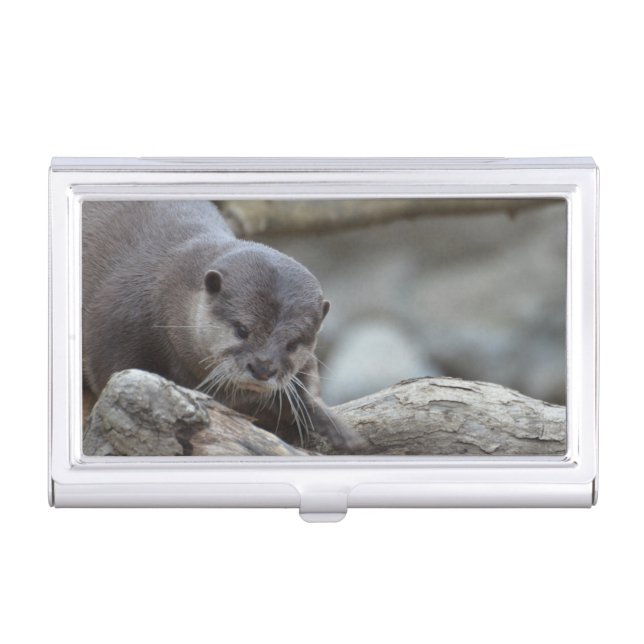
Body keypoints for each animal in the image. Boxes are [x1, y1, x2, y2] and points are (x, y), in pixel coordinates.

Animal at [82, 200, 363, 452]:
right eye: (242, 330)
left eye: (293, 344)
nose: (263, 368)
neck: (164, 293)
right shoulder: (116, 332)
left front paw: (334, 426)